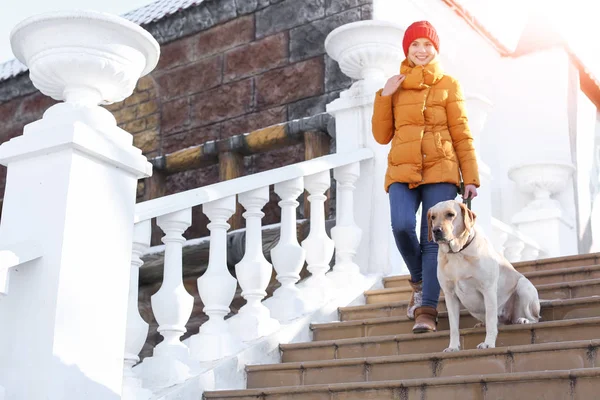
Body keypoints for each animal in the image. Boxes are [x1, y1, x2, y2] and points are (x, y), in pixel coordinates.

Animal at [428, 198, 540, 352]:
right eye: (433, 217)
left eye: (450, 214)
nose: (436, 230)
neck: (458, 253)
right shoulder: (450, 295)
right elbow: (454, 328)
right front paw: (453, 347)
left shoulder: (488, 289)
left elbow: (491, 321)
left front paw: (488, 343)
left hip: (524, 286)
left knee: (535, 318)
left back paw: (524, 320)